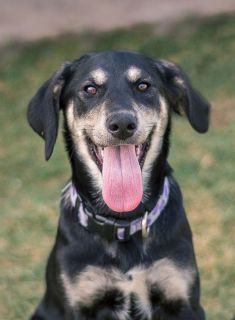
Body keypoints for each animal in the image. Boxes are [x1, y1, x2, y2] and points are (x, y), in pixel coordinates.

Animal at [27, 51, 209, 318]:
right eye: (90, 89)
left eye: (143, 85)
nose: (122, 124)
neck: (122, 221)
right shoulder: (81, 301)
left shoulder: (183, 300)